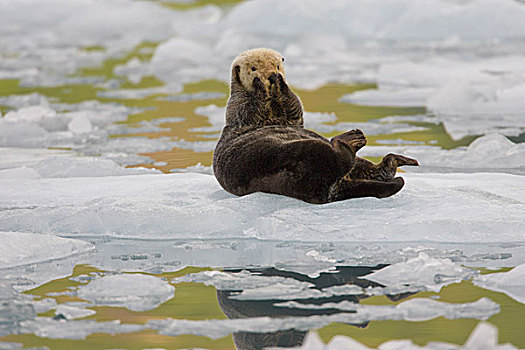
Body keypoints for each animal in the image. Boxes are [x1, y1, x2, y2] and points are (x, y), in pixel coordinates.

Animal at [211, 47, 416, 204]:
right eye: (253, 68)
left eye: (277, 65)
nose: (271, 75)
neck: (273, 107)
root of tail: (329, 190)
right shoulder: (238, 106)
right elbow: (249, 111)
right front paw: (260, 85)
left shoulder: (293, 118)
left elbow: (295, 107)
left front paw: (281, 83)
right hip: (290, 154)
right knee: (340, 159)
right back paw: (352, 139)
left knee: (366, 168)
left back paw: (393, 161)